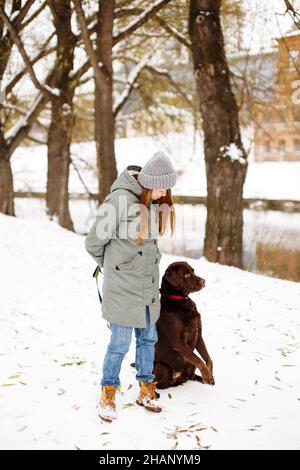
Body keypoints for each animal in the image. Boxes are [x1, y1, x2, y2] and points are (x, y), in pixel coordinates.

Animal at [154, 260, 214, 390]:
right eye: (186, 275)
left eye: (193, 271)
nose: (204, 281)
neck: (180, 300)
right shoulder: (178, 341)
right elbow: (198, 359)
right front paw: (208, 376)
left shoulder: (198, 334)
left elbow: (207, 358)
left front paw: (209, 374)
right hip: (162, 367)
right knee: (163, 384)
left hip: (189, 366)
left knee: (190, 375)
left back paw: (198, 378)